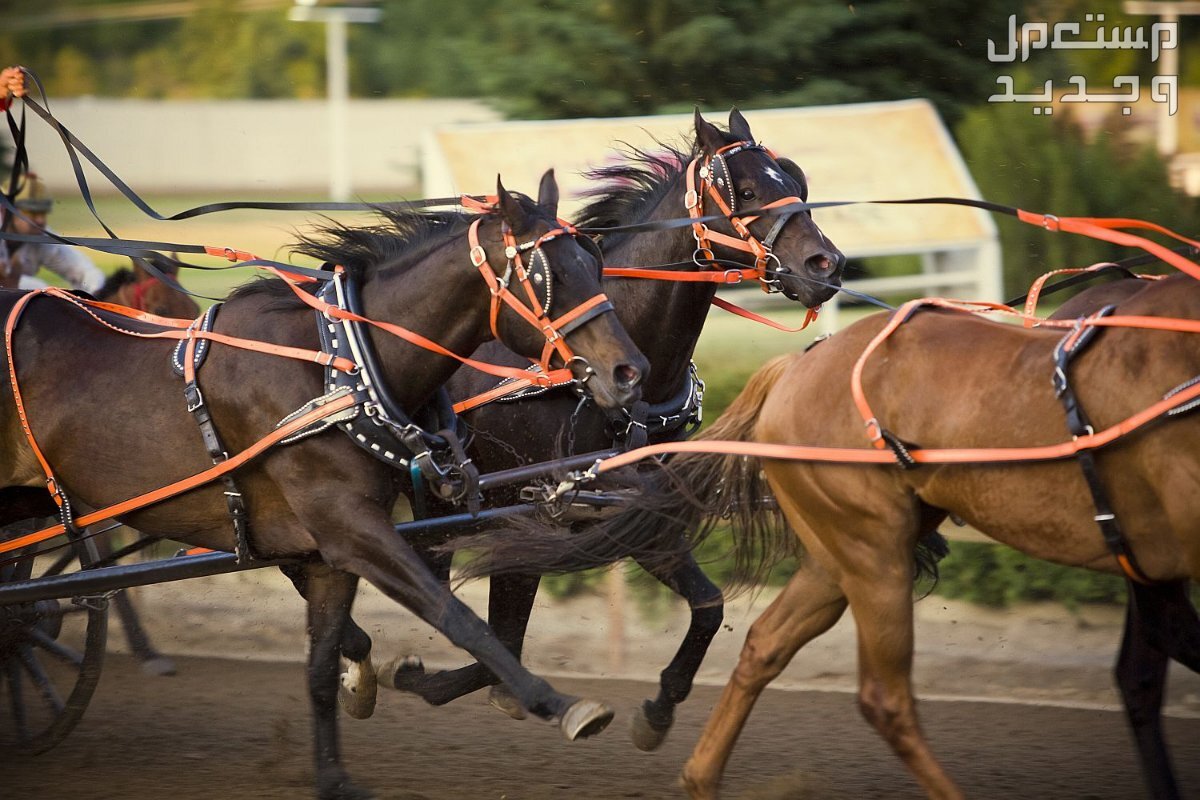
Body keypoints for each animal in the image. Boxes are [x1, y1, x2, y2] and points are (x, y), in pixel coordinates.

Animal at [2, 172, 648, 796]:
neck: (339, 370)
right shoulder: (350, 527)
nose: (629, 371)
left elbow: (319, 664)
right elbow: (456, 616)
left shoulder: (328, 550)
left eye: (593, 261)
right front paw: (558, 702)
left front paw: (336, 767)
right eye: (550, 275)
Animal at [369, 107, 849, 753]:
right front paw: (416, 675)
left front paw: (660, 708)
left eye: (796, 181)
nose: (827, 266)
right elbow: (498, 635)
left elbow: (708, 604)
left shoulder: (633, 509)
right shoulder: (528, 509)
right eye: (746, 191)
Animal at [576, 272, 1195, 796]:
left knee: (766, 643)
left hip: (841, 555)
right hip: (873, 553)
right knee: (884, 699)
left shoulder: (1154, 564)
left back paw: (699, 775)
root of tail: (798, 366)